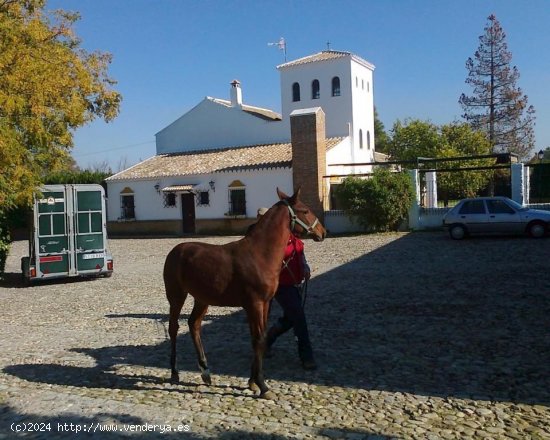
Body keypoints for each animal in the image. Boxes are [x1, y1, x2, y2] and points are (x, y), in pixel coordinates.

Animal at [164, 187, 328, 400]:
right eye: (305, 210)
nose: (323, 232)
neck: (259, 254)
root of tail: (175, 250)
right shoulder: (254, 304)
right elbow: (258, 339)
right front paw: (263, 386)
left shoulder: (264, 304)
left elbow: (258, 338)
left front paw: (252, 381)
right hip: (176, 296)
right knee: (174, 328)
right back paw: (175, 372)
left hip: (202, 298)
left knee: (194, 325)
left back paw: (205, 372)